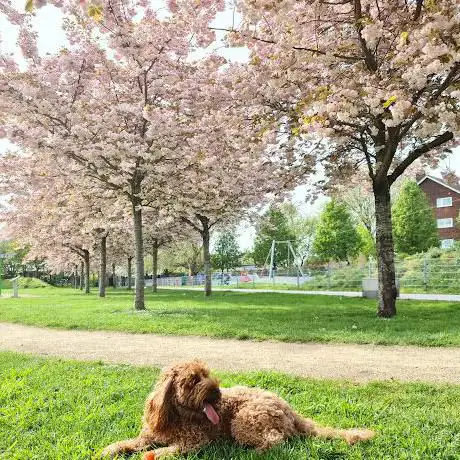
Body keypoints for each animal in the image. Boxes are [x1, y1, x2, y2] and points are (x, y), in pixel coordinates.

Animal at [102, 362, 376, 458]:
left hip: (244, 420)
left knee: (276, 440)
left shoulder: (194, 443)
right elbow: (126, 443)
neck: (178, 417)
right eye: (193, 380)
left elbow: (161, 452)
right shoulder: (147, 437)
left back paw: (251, 452)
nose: (217, 393)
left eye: (207, 374)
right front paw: (110, 449)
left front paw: (150, 456)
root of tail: (289, 409)